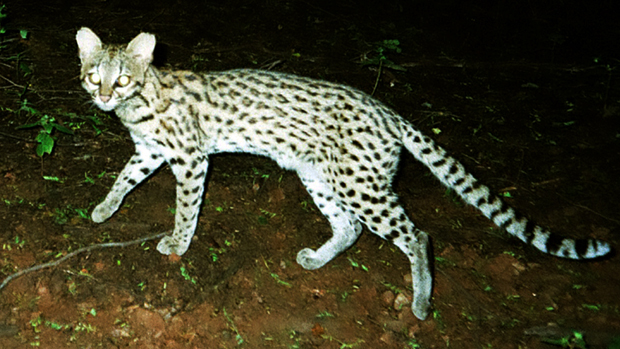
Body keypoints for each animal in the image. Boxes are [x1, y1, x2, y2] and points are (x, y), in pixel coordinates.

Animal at [75, 28, 608, 320]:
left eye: (122, 78)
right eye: (93, 74)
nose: (102, 96)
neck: (140, 101)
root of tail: (389, 112)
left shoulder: (190, 159)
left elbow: (186, 209)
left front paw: (177, 245)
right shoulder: (149, 152)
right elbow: (123, 179)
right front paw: (104, 209)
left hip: (361, 186)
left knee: (417, 234)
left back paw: (421, 302)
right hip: (323, 178)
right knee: (350, 228)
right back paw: (318, 260)